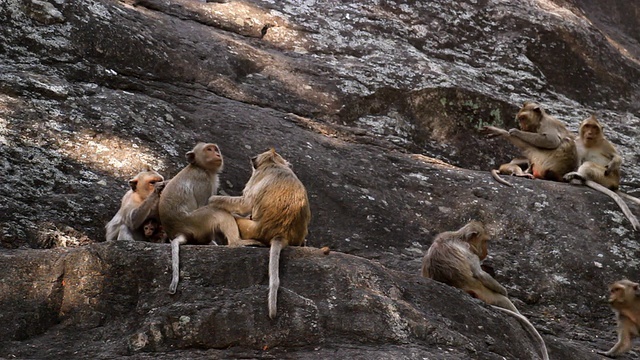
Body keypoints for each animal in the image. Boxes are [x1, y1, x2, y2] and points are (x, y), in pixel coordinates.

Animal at [159, 142, 262, 294]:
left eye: (215, 149)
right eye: (209, 149)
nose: (217, 154)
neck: (200, 167)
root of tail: (178, 232)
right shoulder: (203, 181)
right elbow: (207, 203)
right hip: (196, 221)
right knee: (217, 212)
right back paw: (236, 242)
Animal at [209, 148, 312, 320]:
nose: (253, 159)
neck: (274, 163)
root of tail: (281, 234)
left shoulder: (257, 175)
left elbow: (245, 204)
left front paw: (211, 200)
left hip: (251, 229)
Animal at [420, 219, 552, 360]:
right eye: (485, 241)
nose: (486, 252)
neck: (460, 238)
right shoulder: (469, 251)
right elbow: (479, 274)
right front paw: (504, 291)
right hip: (482, 292)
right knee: (502, 299)